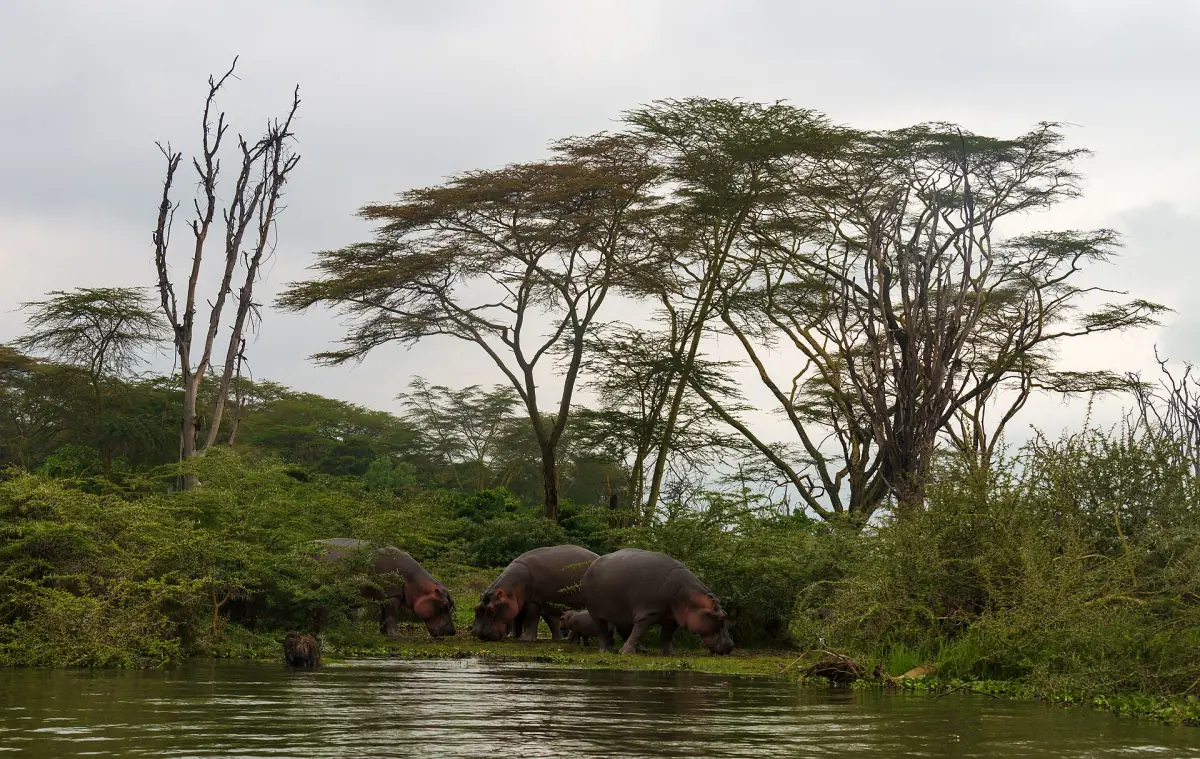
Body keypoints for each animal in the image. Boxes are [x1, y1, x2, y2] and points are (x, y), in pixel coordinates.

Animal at [313, 538, 455, 638]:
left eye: (452, 603)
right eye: (444, 606)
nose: (452, 632)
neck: (417, 584)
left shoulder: (385, 597)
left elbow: (383, 617)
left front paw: (383, 634)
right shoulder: (392, 596)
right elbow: (392, 617)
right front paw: (396, 636)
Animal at [581, 548, 734, 655]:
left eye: (725, 614)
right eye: (720, 617)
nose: (731, 646)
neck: (688, 597)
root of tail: (592, 565)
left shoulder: (672, 618)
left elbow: (666, 636)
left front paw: (670, 654)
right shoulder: (647, 613)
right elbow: (638, 632)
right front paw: (625, 653)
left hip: (622, 612)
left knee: (624, 630)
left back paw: (642, 650)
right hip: (595, 612)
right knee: (601, 630)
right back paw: (606, 651)